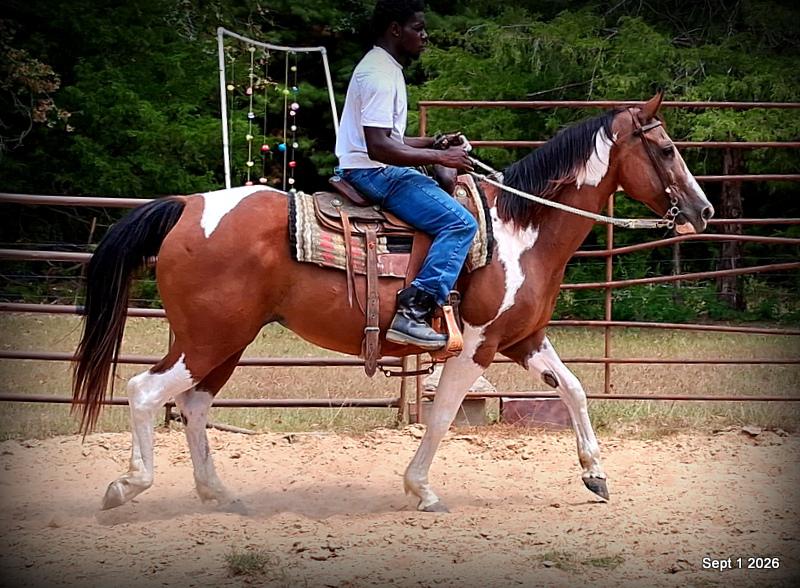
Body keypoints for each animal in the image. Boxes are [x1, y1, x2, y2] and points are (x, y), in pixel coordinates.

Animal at [72, 93, 714, 513]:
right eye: (664, 148)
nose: (703, 209)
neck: (519, 230)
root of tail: (187, 205)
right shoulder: (476, 347)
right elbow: (442, 416)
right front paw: (421, 488)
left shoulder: (524, 340)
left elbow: (575, 390)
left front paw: (596, 475)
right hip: (210, 337)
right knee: (146, 391)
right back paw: (127, 486)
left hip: (223, 341)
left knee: (194, 403)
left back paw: (218, 493)